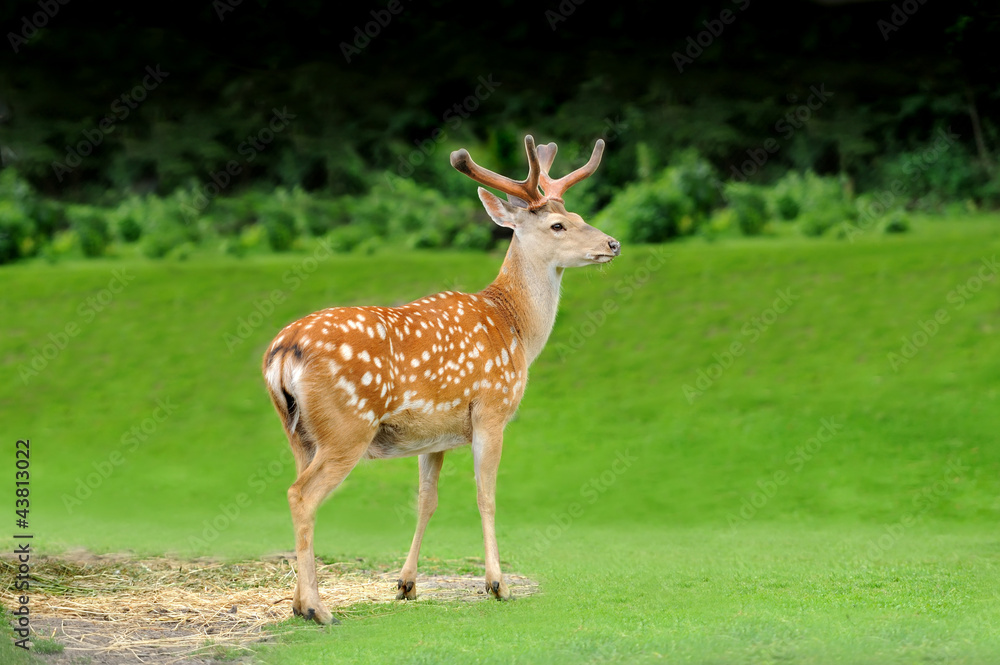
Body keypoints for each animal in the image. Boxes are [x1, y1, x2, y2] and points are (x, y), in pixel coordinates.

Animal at [262, 134, 620, 624]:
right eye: (558, 226)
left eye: (580, 216)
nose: (613, 243)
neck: (515, 328)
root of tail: (283, 353)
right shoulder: (491, 408)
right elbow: (486, 495)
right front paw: (497, 584)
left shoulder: (434, 434)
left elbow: (426, 501)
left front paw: (406, 584)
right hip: (346, 426)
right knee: (302, 495)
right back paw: (318, 609)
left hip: (299, 433)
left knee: (298, 490)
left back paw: (299, 605)